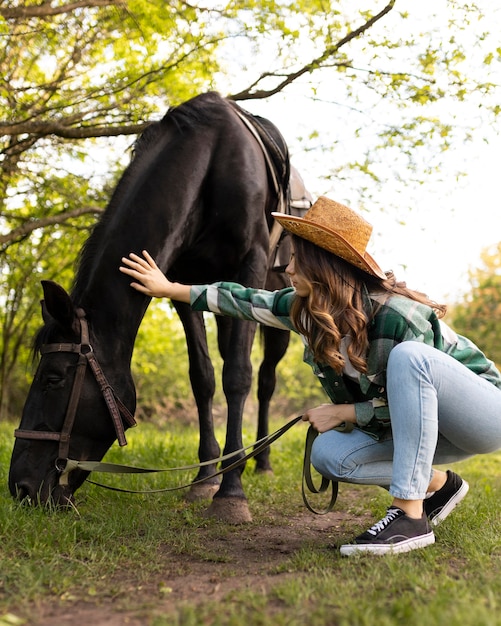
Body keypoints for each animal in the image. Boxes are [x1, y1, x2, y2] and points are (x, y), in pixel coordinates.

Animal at [8, 91, 308, 520]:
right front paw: (206, 478)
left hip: (275, 308)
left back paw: (261, 462)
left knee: (265, 379)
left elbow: (237, 376)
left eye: (52, 378)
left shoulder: (249, 267)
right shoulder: (182, 284)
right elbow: (202, 378)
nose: (20, 487)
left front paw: (231, 493)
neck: (211, 158)